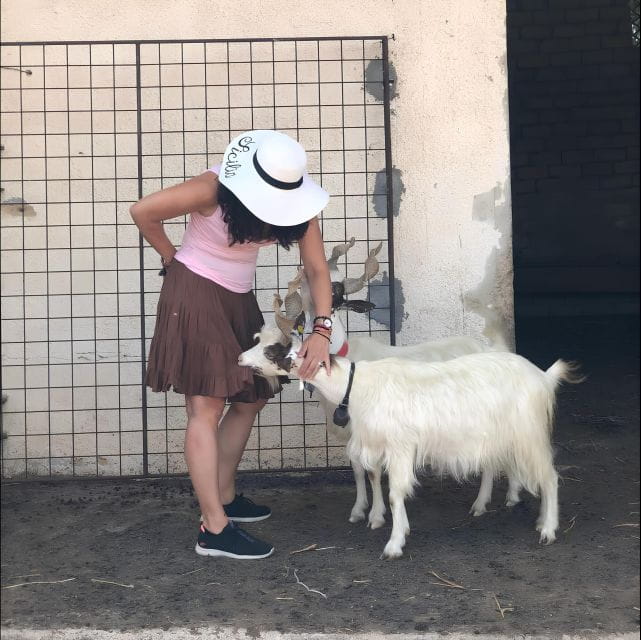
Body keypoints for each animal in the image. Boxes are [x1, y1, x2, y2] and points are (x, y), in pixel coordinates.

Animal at [239, 320, 580, 558]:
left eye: (273, 349)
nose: (241, 359)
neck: (355, 385)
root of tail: (543, 376)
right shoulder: (374, 443)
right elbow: (373, 478)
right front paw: (380, 522)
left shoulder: (399, 446)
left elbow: (394, 493)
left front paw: (394, 543)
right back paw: (496, 507)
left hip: (529, 432)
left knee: (549, 477)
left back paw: (547, 529)